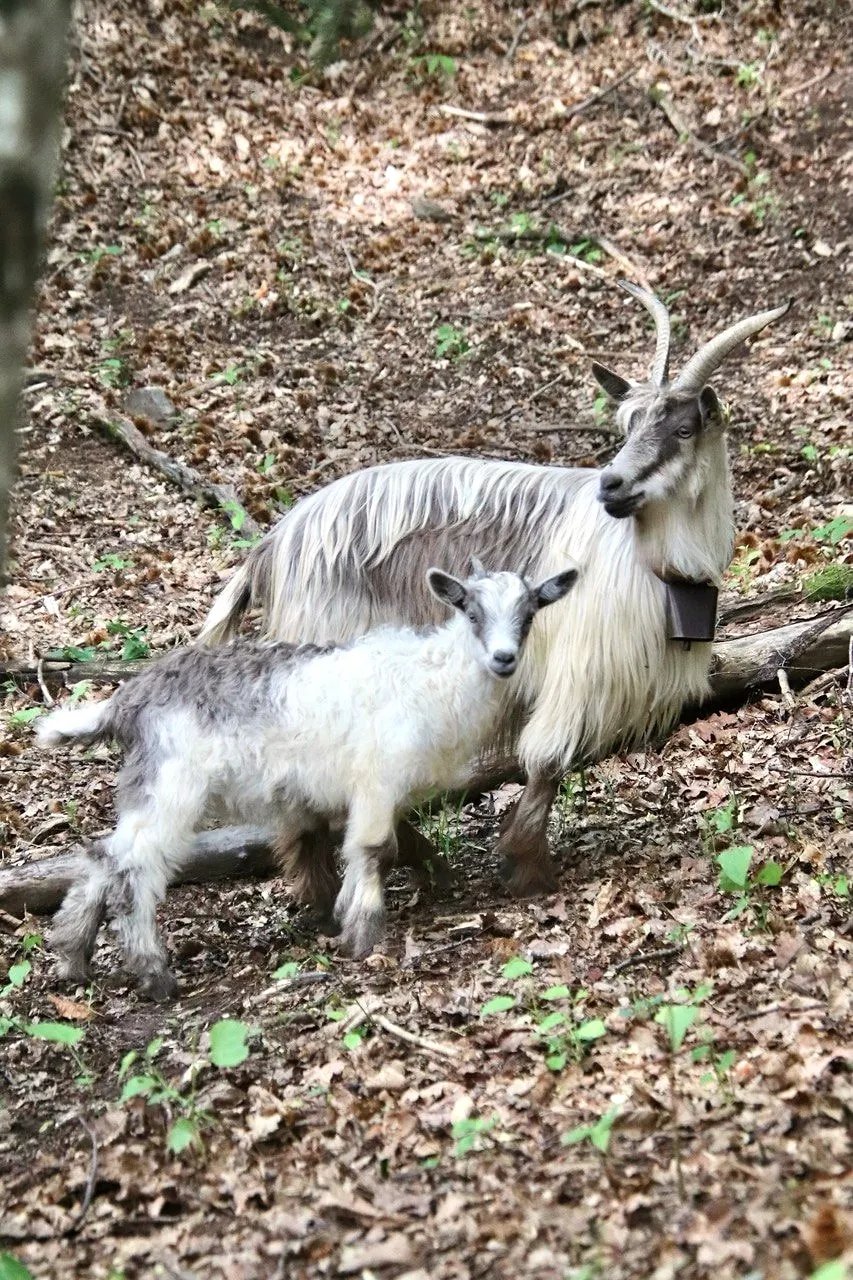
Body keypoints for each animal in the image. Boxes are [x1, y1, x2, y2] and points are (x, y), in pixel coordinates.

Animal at [38, 563, 578, 1000]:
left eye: (529, 614)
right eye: (471, 612)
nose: (504, 659)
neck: (434, 680)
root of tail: (126, 701)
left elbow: (380, 845)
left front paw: (363, 907)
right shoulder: (377, 777)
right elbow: (376, 849)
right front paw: (362, 935)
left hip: (148, 788)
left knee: (104, 856)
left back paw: (71, 957)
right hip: (172, 785)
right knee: (136, 872)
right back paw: (154, 976)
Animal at [199, 284, 791, 897]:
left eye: (683, 429)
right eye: (628, 427)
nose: (611, 484)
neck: (650, 562)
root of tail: (270, 547)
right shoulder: (576, 670)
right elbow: (548, 761)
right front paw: (526, 866)